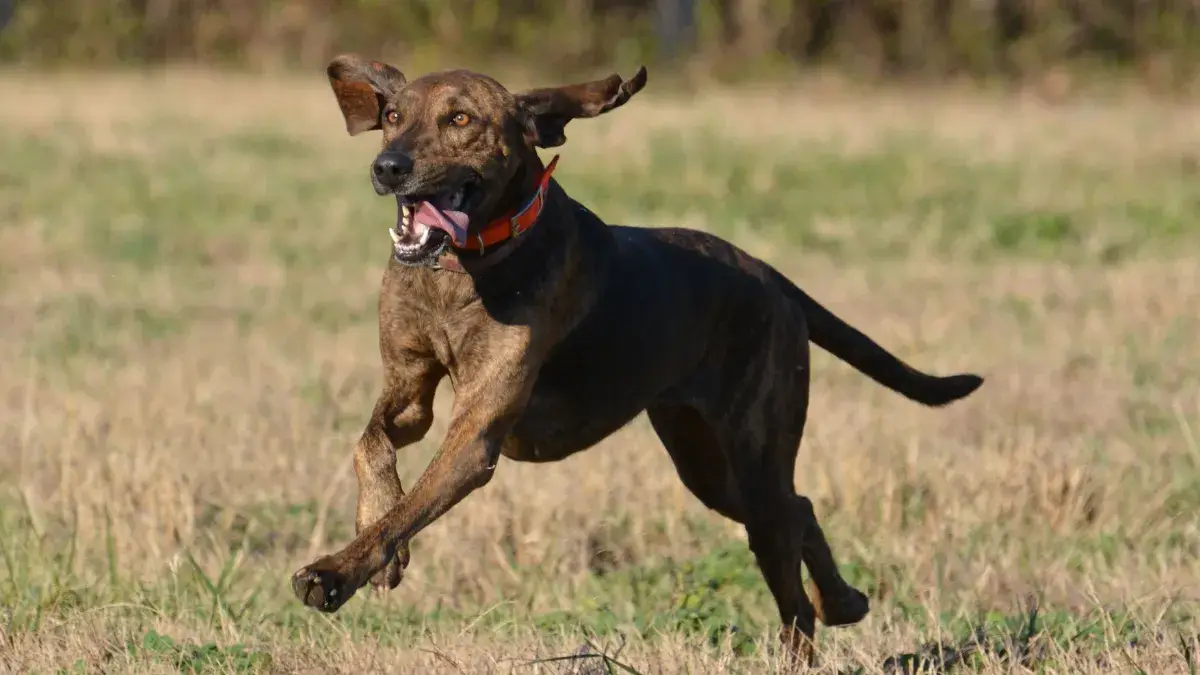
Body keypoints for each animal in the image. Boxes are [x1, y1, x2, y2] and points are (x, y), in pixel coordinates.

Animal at [292, 53, 984, 662]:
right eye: (392, 115)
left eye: (460, 119)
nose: (387, 167)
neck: (463, 268)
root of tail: (774, 280)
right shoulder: (410, 392)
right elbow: (370, 449)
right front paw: (382, 545)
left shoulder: (476, 432)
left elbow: (407, 509)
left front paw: (334, 573)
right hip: (705, 465)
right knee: (801, 509)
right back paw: (845, 600)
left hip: (754, 452)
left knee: (789, 568)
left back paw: (819, 621)